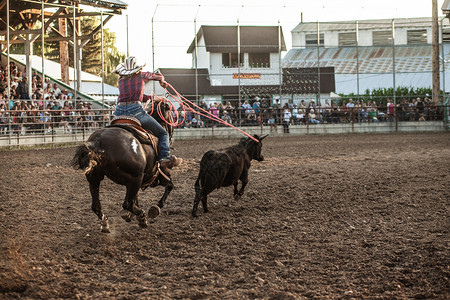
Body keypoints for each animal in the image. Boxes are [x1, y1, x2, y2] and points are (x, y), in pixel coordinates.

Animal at [71, 100, 174, 232]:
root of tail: (98, 141)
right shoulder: (162, 172)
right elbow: (170, 185)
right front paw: (156, 208)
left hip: (94, 178)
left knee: (96, 206)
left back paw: (105, 223)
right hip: (135, 177)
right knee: (127, 203)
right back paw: (141, 217)